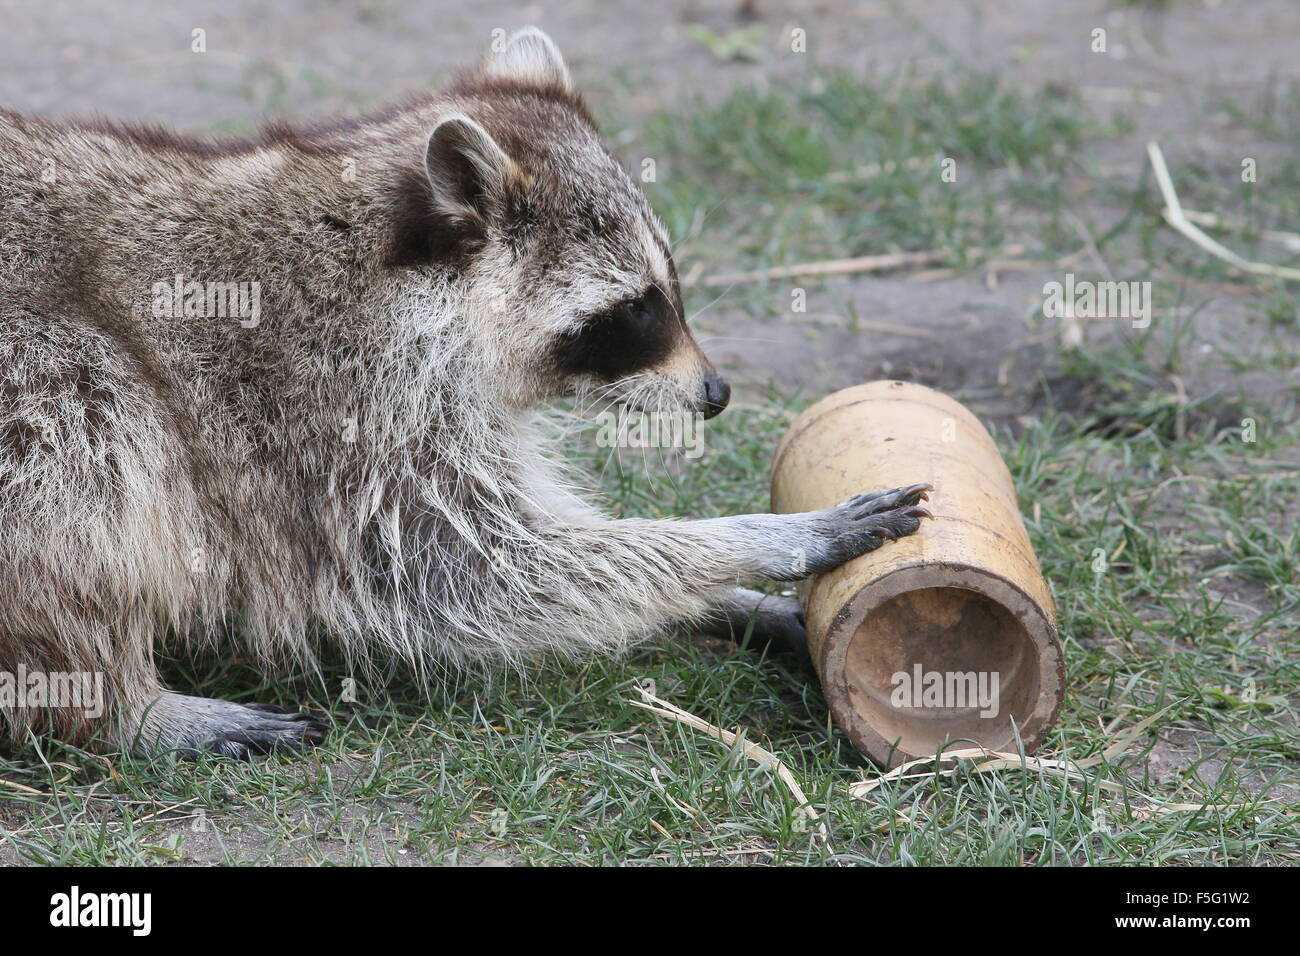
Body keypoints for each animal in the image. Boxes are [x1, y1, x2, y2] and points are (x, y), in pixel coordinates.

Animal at [2, 29, 935, 759]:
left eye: (667, 290)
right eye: (635, 310)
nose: (716, 393)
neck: (419, 280)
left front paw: (731, 598)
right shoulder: (336, 407)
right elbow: (471, 570)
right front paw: (748, 543)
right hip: (36, 371)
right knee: (91, 445)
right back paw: (122, 706)